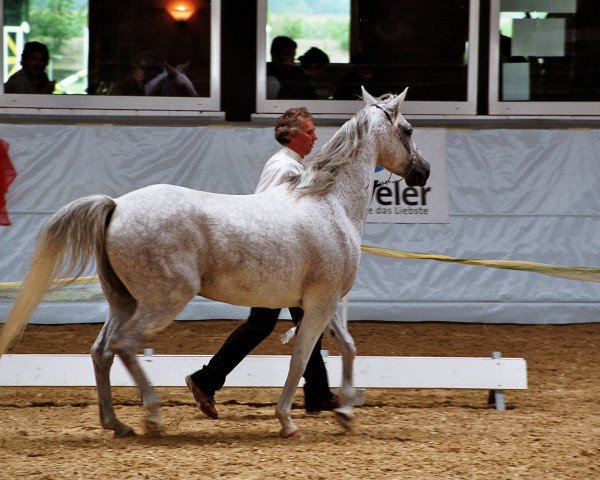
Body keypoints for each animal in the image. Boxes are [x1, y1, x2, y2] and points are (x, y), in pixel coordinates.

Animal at [1, 87, 432, 438]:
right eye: (408, 130)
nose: (423, 171)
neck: (329, 204)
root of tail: (117, 205)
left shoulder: (319, 304)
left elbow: (346, 347)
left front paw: (344, 411)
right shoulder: (320, 303)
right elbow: (300, 359)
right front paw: (287, 421)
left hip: (123, 300)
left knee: (101, 350)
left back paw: (118, 424)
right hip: (163, 300)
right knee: (125, 344)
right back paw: (152, 416)